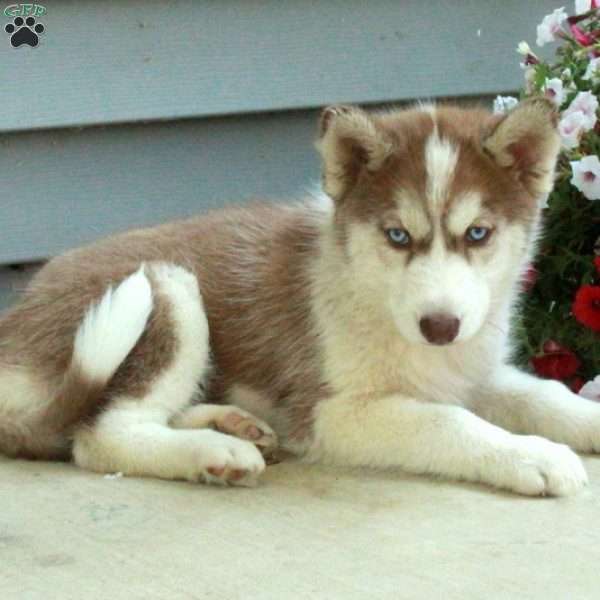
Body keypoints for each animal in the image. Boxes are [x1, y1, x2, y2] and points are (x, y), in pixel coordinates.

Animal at [0, 98, 596, 494]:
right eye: (397, 235)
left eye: (478, 233)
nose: (440, 328)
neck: (367, 291)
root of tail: (13, 324)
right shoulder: (331, 412)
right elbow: (446, 421)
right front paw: (531, 454)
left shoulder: (473, 371)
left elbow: (544, 395)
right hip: (166, 286)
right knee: (102, 435)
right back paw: (215, 450)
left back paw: (232, 423)